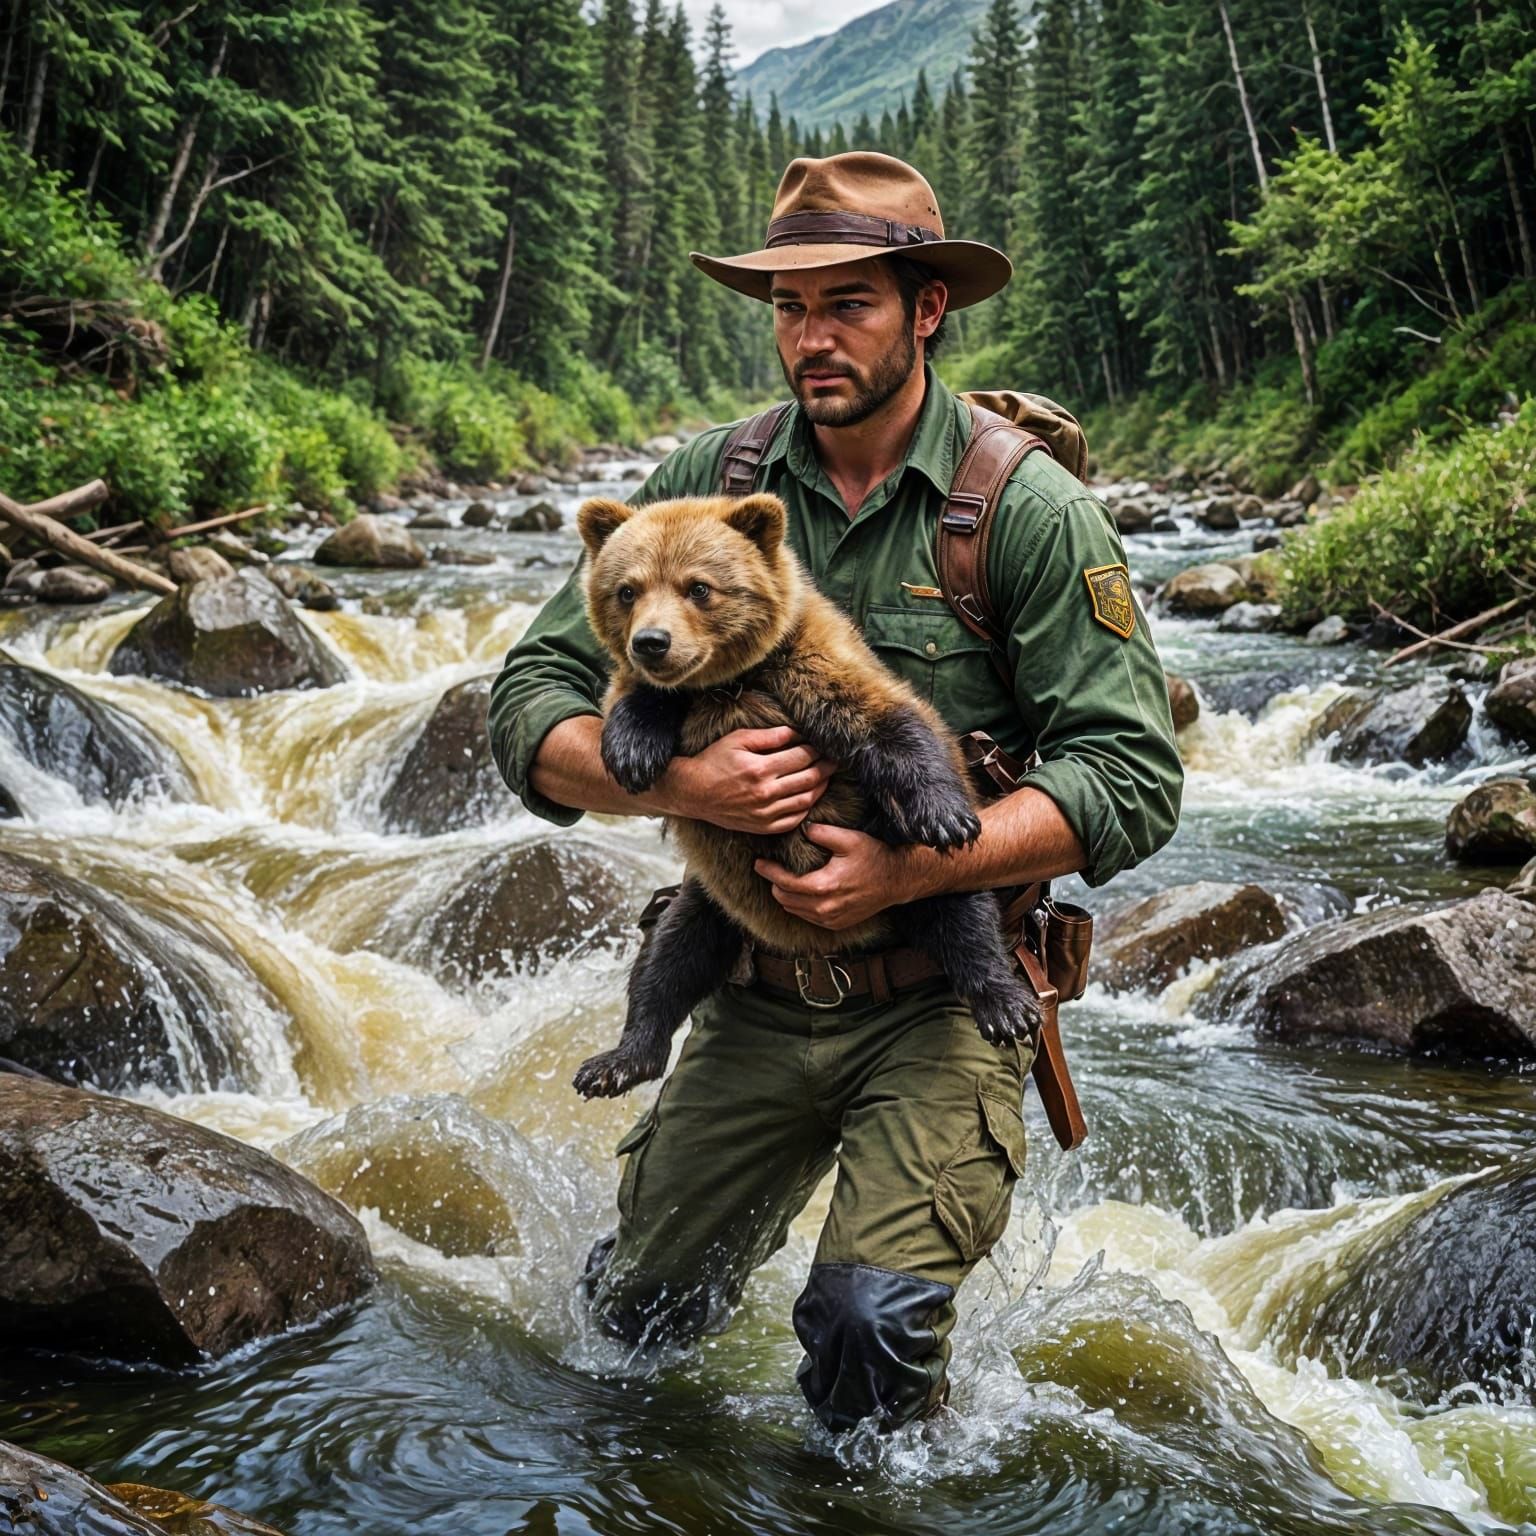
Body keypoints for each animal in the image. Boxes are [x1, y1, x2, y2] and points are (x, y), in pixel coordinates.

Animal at [569, 490, 1041, 1099]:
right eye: (627, 589)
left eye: (698, 586)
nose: (652, 642)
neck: (730, 683)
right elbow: (630, 698)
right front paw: (632, 749)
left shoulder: (808, 668)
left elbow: (891, 721)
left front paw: (945, 816)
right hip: (715, 899)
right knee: (670, 954)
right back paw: (618, 1061)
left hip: (909, 874)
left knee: (962, 914)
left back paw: (1005, 1005)